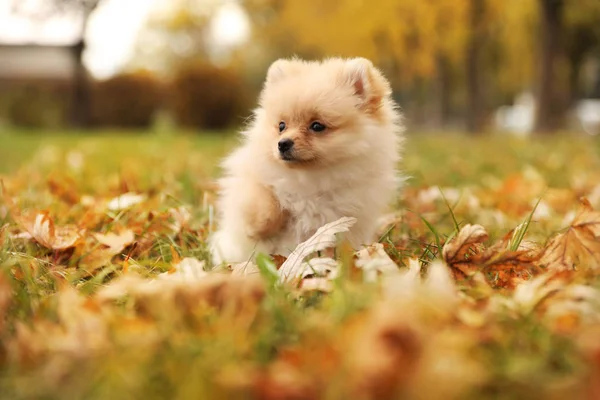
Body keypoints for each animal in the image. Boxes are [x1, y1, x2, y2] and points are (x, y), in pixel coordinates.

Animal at [210, 55, 404, 262]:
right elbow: (262, 197)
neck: (309, 178)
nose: (282, 143)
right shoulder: (253, 176)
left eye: (317, 126)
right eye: (281, 126)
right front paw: (258, 226)